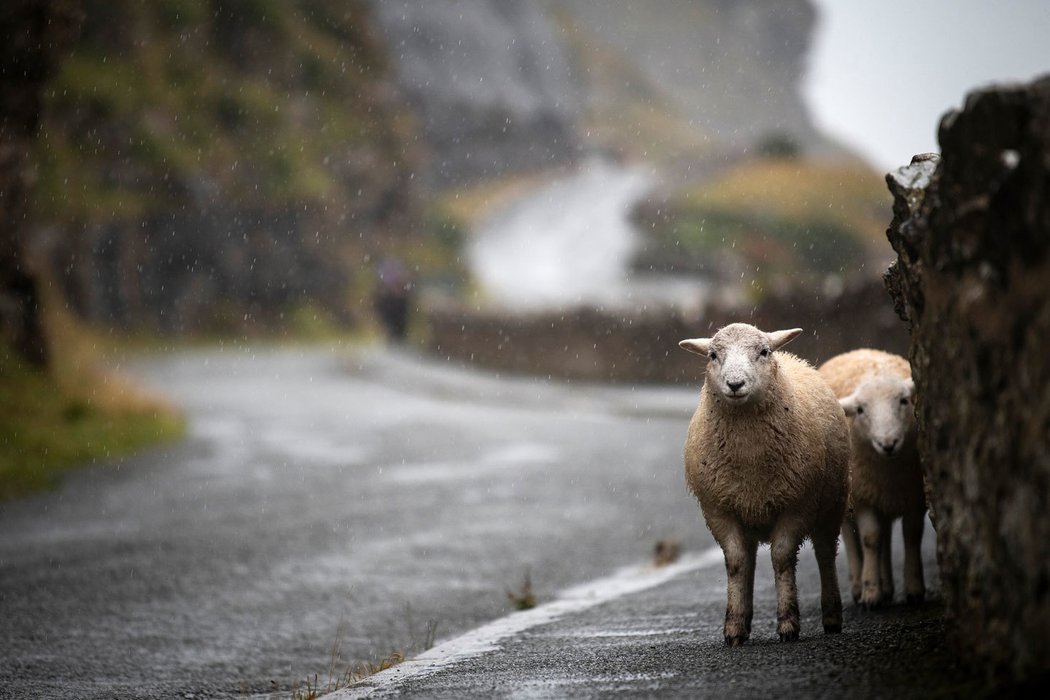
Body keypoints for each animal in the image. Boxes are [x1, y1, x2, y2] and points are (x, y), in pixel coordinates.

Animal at [680, 323, 852, 646]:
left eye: (762, 352)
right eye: (712, 355)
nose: (735, 384)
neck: (749, 457)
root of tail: (793, 358)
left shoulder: (797, 504)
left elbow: (782, 559)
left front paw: (788, 625)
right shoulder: (719, 509)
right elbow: (736, 563)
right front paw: (734, 628)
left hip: (832, 503)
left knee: (825, 554)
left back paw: (832, 617)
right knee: (749, 561)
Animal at [814, 350, 923, 608]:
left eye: (904, 401)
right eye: (861, 410)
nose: (888, 443)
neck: (888, 468)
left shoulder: (914, 492)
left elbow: (911, 535)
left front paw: (914, 588)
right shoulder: (863, 496)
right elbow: (870, 538)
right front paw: (871, 593)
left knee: (886, 537)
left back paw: (889, 586)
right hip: (843, 496)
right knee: (851, 538)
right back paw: (857, 586)